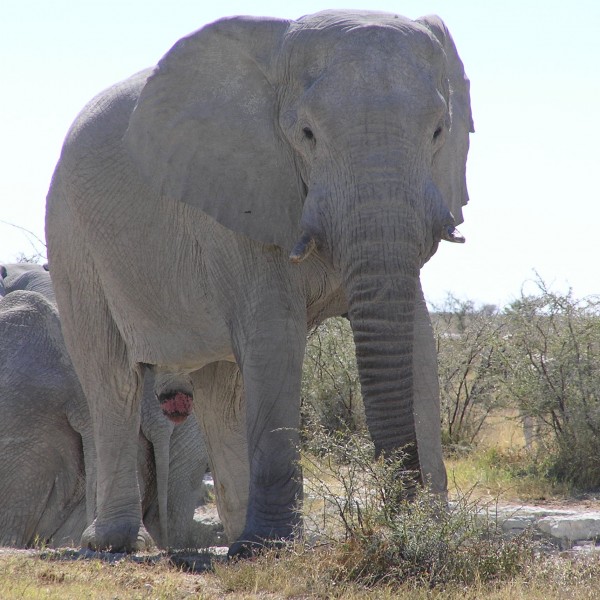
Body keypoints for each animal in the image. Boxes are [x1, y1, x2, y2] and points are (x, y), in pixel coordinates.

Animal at [45, 9, 474, 556]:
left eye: (439, 131)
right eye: (307, 133)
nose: (397, 517)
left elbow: (419, 340)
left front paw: (433, 532)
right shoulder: (236, 193)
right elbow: (274, 335)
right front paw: (271, 548)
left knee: (222, 389)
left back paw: (231, 536)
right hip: (71, 234)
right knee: (112, 376)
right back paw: (113, 543)